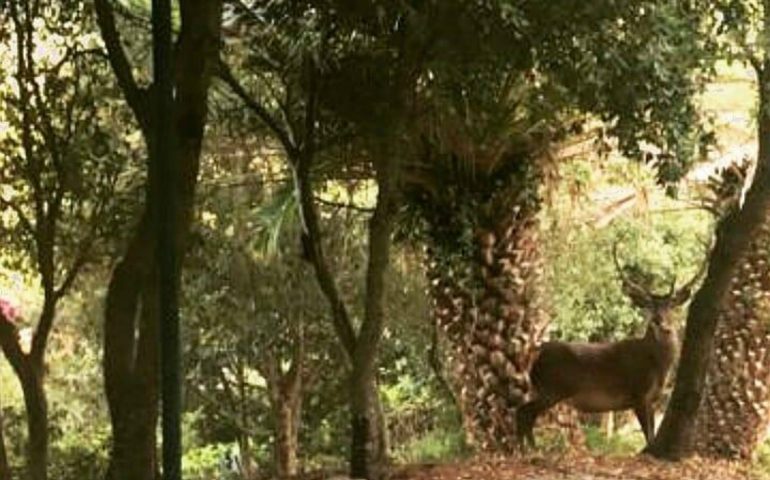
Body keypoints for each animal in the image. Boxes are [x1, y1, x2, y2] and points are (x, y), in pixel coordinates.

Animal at [512, 246, 704, 448]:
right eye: (650, 306)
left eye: (671, 306)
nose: (660, 321)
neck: (658, 366)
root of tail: (532, 357)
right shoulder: (637, 393)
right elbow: (649, 436)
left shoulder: (651, 398)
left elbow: (651, 433)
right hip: (554, 387)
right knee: (524, 412)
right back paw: (528, 449)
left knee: (525, 413)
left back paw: (528, 448)